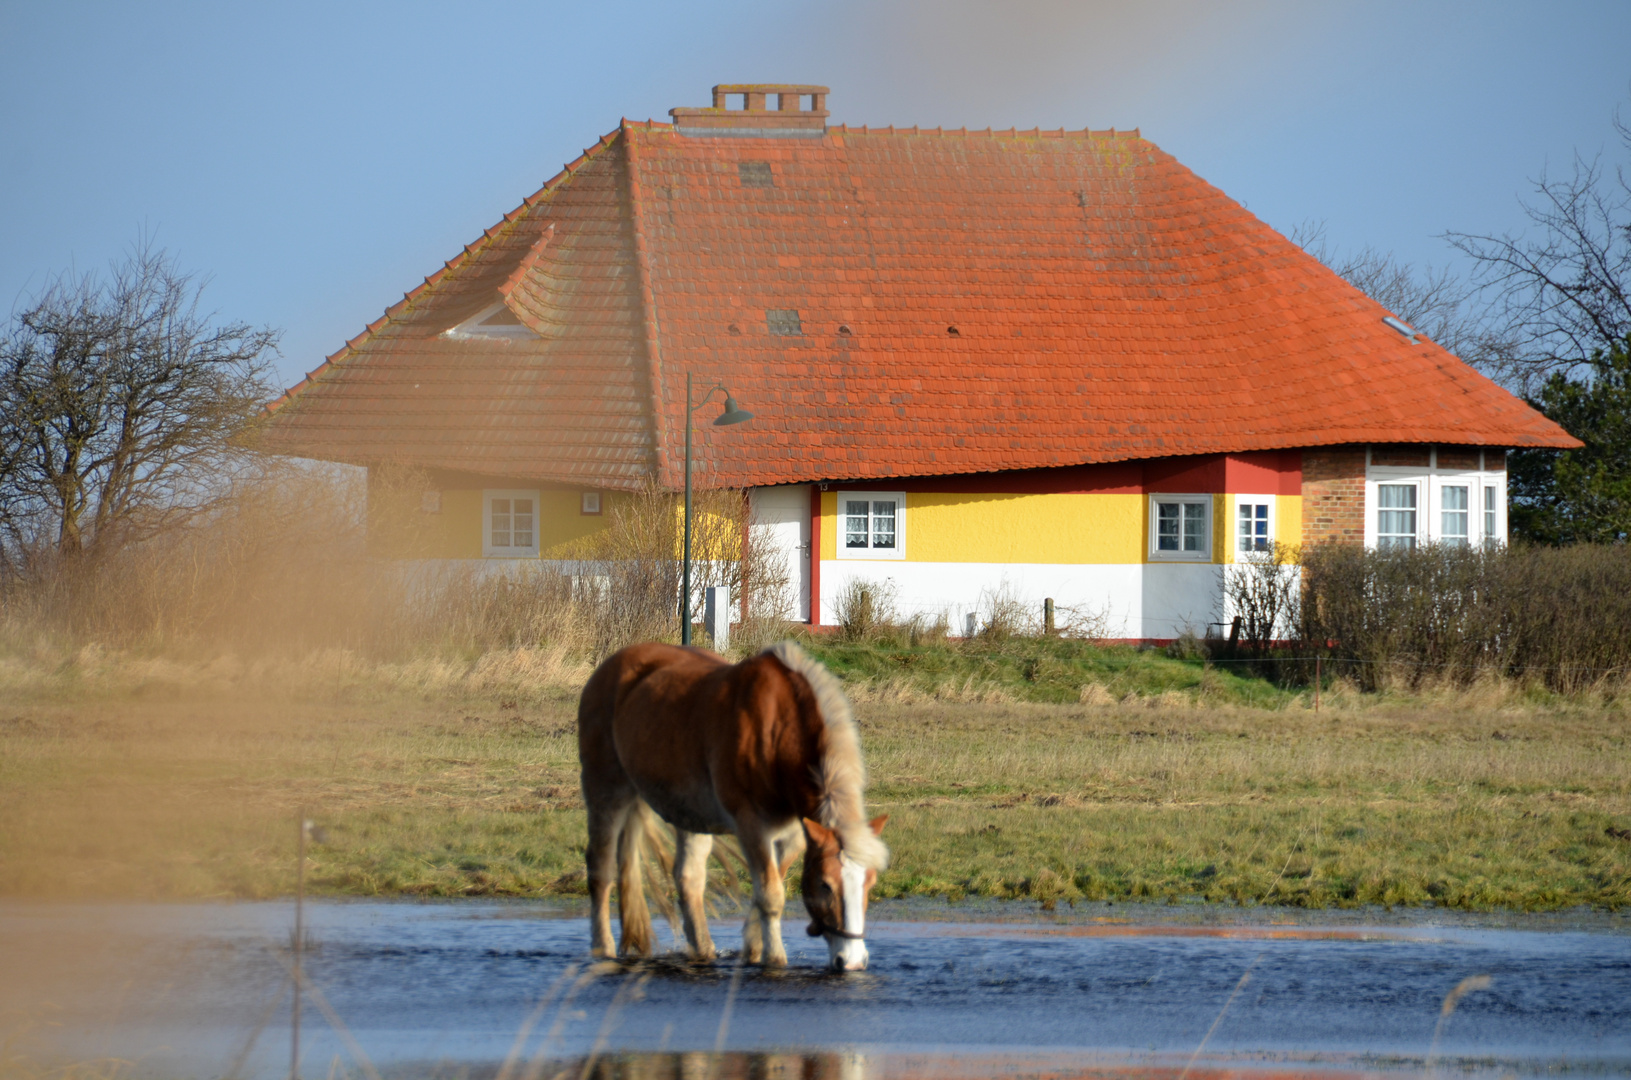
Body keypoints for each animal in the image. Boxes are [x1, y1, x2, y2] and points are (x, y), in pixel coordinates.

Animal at [580, 642, 893, 972]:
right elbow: (771, 894)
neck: (776, 731)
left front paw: (752, 951)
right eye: (825, 884)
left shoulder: (794, 833)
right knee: (601, 868)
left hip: (691, 814)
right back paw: (602, 948)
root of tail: (613, 665)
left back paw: (703, 950)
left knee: (688, 879)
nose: (853, 961)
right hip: (607, 792)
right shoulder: (752, 826)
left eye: (870, 883)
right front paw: (774, 959)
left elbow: (768, 887)